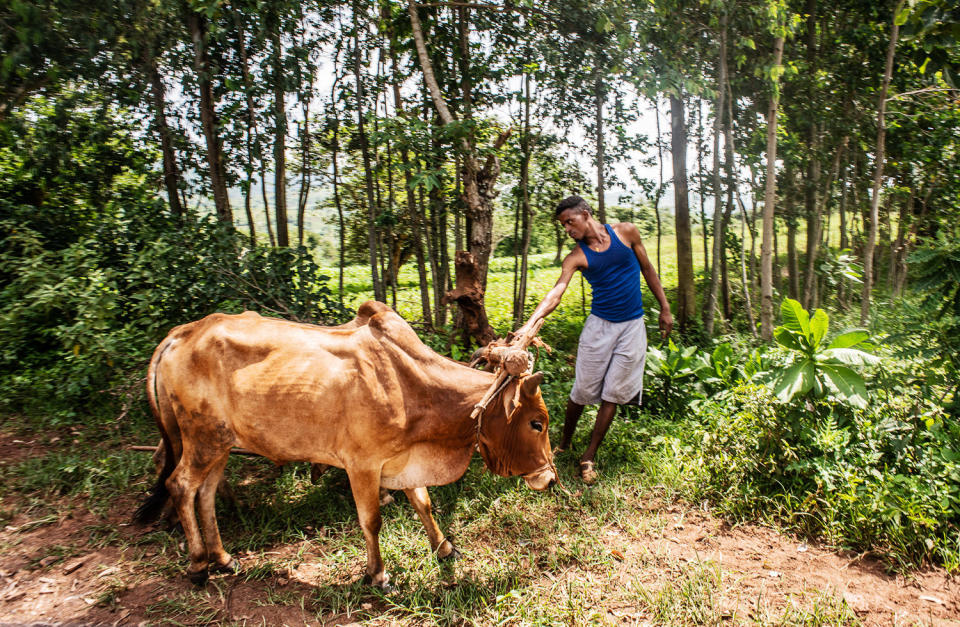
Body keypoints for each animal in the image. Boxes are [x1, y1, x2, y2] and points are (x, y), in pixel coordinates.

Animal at [135, 302, 556, 592]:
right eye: (536, 422)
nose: (550, 479)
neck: (411, 386)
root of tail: (183, 332)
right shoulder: (363, 465)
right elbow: (372, 521)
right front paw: (378, 575)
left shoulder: (402, 459)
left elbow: (423, 502)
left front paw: (443, 547)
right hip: (202, 441)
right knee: (180, 486)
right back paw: (198, 566)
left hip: (220, 445)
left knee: (205, 494)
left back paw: (223, 558)